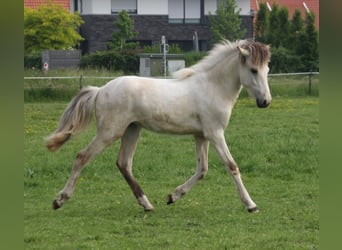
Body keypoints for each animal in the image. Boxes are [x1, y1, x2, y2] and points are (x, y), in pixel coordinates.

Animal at [45, 39, 272, 213]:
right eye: (253, 70)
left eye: (267, 69)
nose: (266, 102)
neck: (213, 87)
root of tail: (100, 90)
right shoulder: (215, 134)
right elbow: (231, 166)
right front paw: (251, 205)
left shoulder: (201, 135)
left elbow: (202, 169)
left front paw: (173, 196)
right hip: (110, 132)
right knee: (82, 157)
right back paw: (59, 200)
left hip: (132, 130)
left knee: (124, 163)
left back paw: (147, 204)